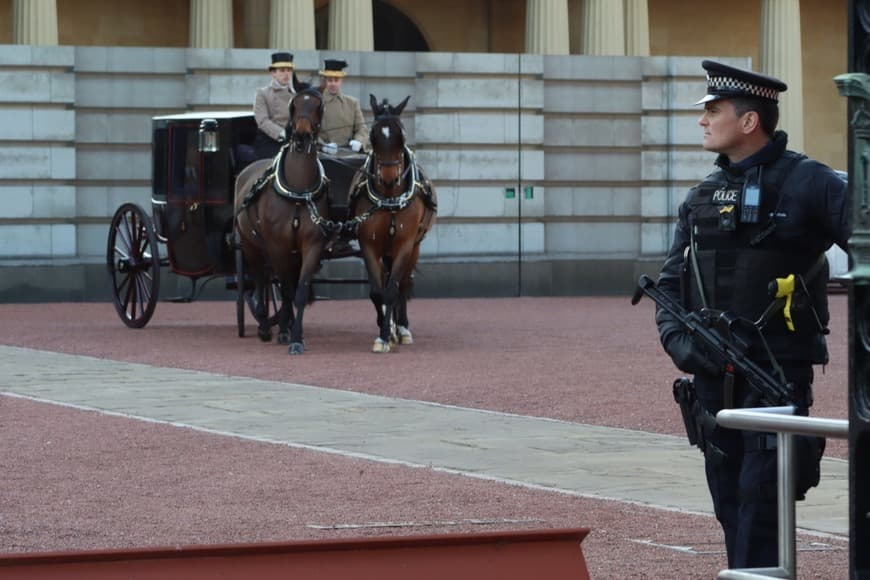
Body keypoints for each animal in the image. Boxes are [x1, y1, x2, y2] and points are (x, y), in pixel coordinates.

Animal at [235, 77, 330, 354]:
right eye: (294, 104)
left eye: (319, 105)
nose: (301, 136)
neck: (297, 190)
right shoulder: (277, 245)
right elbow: (285, 289)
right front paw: (284, 331)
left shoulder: (311, 245)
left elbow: (299, 291)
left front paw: (296, 336)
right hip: (252, 246)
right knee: (260, 280)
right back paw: (264, 324)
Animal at [350, 95, 440, 354]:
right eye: (373, 135)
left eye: (402, 136)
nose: (389, 179)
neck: (390, 199)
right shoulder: (369, 245)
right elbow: (377, 291)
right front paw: (384, 332)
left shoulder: (404, 244)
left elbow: (392, 290)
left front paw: (388, 332)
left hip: (414, 248)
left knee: (403, 284)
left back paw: (402, 328)